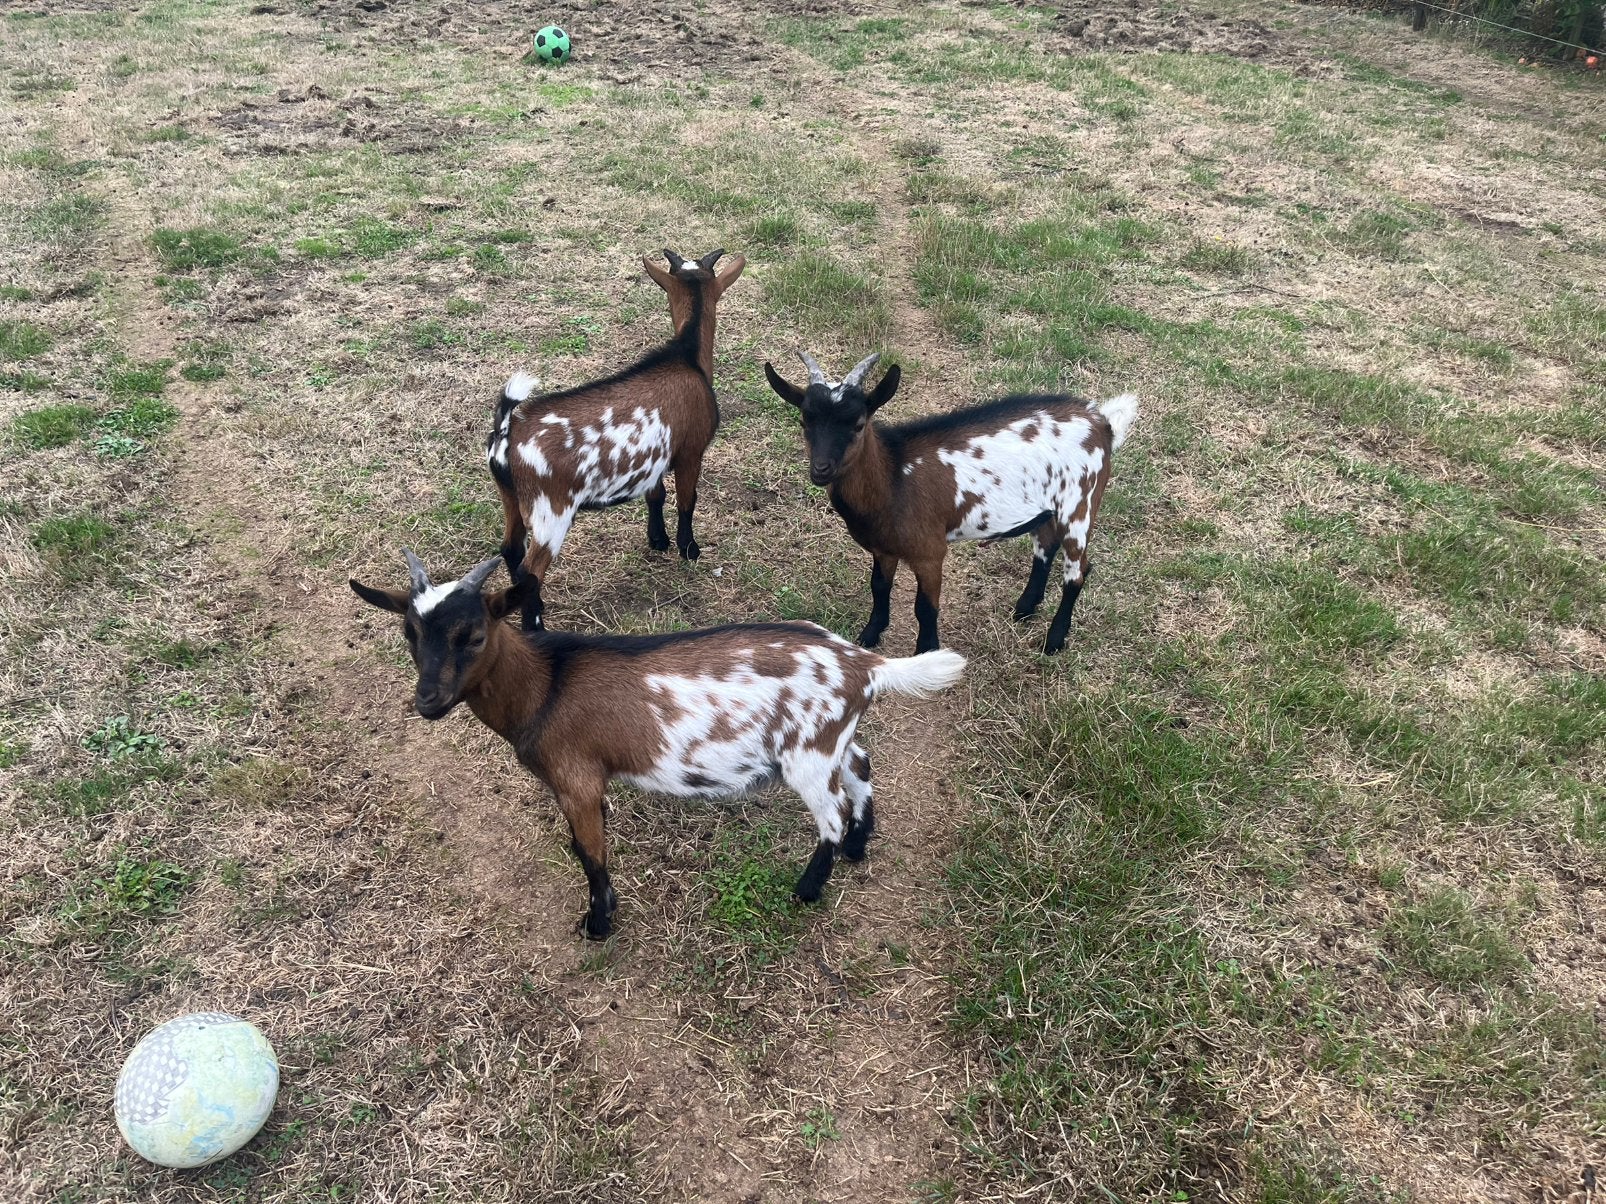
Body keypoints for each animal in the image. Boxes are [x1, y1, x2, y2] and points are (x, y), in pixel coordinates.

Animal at [349, 550, 966, 939]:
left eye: (474, 635)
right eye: (408, 632)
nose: (427, 701)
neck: (545, 684)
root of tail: (866, 665)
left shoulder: (575, 779)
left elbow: (590, 856)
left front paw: (598, 924)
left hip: (808, 754)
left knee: (831, 812)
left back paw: (809, 888)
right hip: (837, 738)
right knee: (862, 765)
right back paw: (860, 846)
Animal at [485, 247, 745, 631]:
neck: (686, 356)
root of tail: (506, 434)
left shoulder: (654, 459)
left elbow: (656, 495)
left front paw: (658, 540)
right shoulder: (690, 451)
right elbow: (687, 500)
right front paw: (689, 550)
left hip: (511, 497)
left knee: (511, 550)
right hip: (551, 511)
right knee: (532, 570)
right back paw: (536, 628)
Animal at [764, 352, 1138, 655]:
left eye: (857, 424)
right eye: (804, 420)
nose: (821, 469)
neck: (895, 477)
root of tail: (1102, 423)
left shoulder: (930, 552)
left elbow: (925, 606)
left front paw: (927, 650)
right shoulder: (883, 548)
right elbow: (879, 587)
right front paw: (869, 635)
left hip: (1081, 503)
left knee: (1077, 571)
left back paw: (1054, 641)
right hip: (1048, 506)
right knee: (1045, 546)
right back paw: (1025, 608)